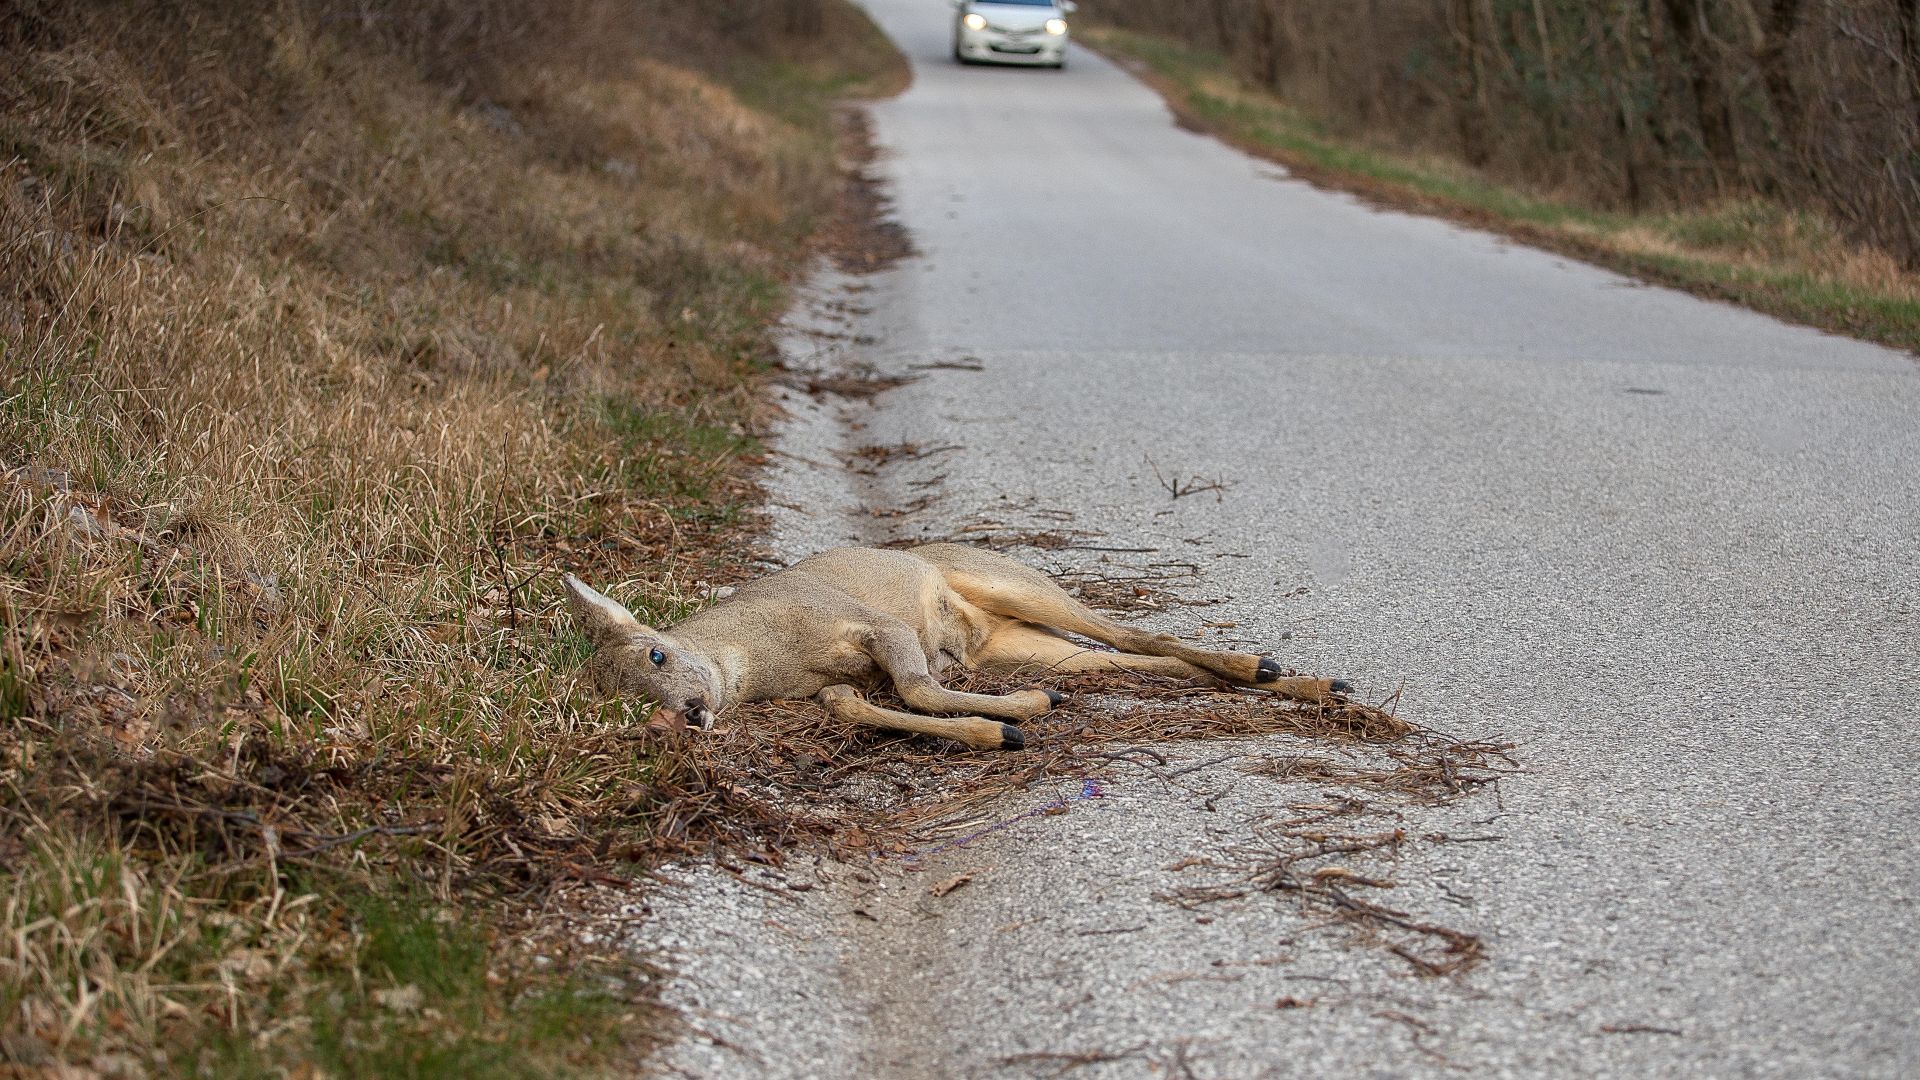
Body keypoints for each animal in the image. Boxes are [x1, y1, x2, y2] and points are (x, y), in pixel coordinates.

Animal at [564, 538, 1351, 749]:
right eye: (628, 707)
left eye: (658, 655)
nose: (688, 714)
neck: (760, 661)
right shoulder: (834, 684)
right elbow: (863, 707)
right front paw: (1000, 725)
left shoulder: (870, 623)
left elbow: (916, 687)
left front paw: (1018, 717)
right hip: (1023, 642)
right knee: (1136, 657)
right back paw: (1300, 682)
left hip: (1018, 587)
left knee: (1137, 629)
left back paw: (1275, 667)